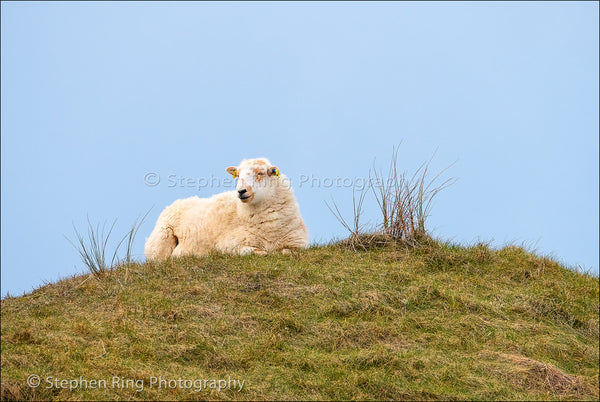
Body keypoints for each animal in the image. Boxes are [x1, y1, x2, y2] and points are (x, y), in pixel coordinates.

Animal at [145, 157, 310, 260]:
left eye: (260, 173)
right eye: (238, 175)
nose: (241, 191)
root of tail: (172, 204)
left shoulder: (299, 244)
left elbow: (287, 252)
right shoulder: (226, 245)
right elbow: (248, 251)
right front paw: (262, 253)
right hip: (160, 242)